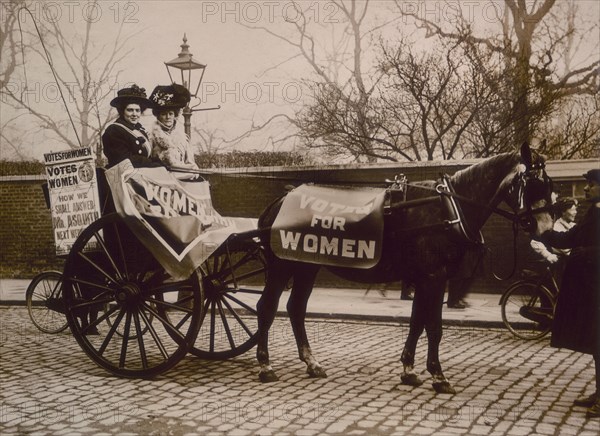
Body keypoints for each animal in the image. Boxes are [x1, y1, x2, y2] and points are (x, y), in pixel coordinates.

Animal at [253, 144, 552, 396]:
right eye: (535, 184)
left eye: (548, 184)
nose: (546, 230)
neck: (447, 208)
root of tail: (279, 202)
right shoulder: (434, 277)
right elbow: (433, 327)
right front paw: (439, 376)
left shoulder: (423, 278)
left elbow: (416, 323)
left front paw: (409, 370)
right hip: (282, 266)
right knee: (267, 307)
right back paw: (266, 366)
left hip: (306, 266)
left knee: (296, 308)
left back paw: (311, 363)